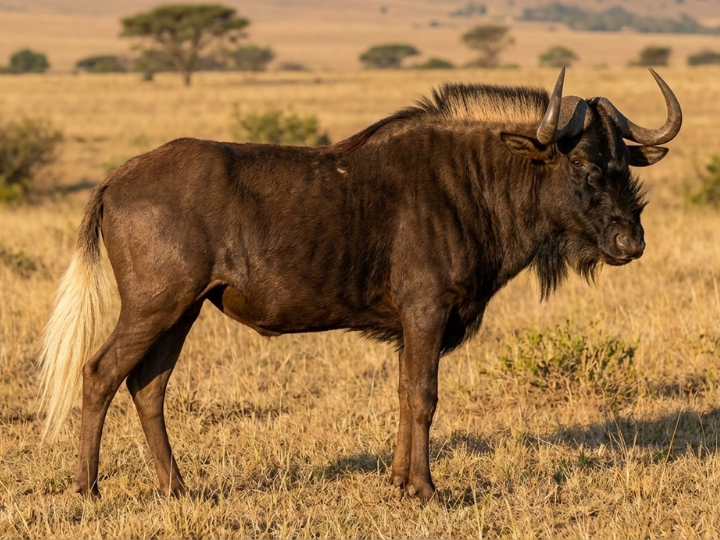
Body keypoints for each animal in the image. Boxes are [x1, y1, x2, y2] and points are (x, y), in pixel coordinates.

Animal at [38, 68, 681, 502]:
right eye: (581, 164)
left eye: (624, 161)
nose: (630, 242)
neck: (474, 180)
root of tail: (116, 179)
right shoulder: (426, 312)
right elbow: (423, 397)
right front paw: (426, 491)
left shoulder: (413, 326)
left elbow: (401, 394)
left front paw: (399, 482)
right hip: (153, 307)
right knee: (99, 374)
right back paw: (87, 490)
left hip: (182, 312)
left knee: (148, 386)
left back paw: (178, 488)